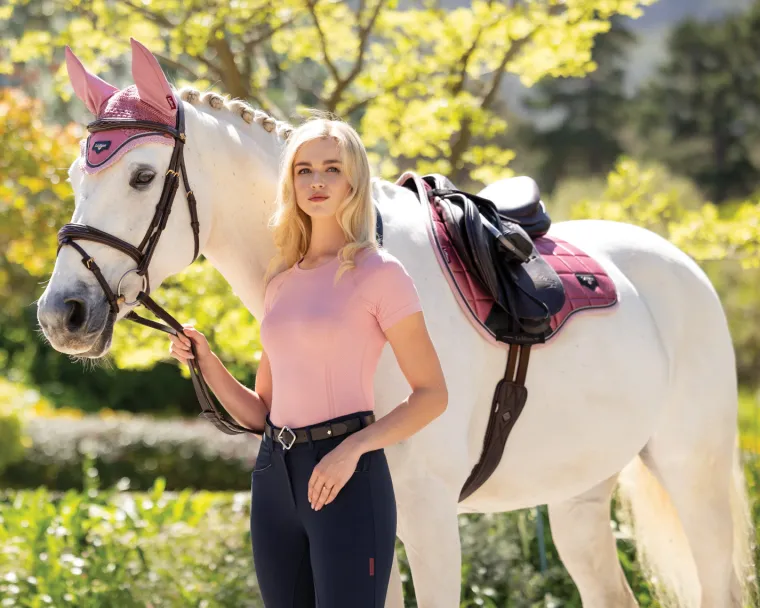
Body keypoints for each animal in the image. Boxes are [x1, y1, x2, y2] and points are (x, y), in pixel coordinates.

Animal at [37, 39, 755, 607]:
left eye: (142, 175)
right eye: (76, 174)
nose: (62, 313)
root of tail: (681, 267)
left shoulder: (431, 521)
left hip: (696, 481)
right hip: (579, 500)